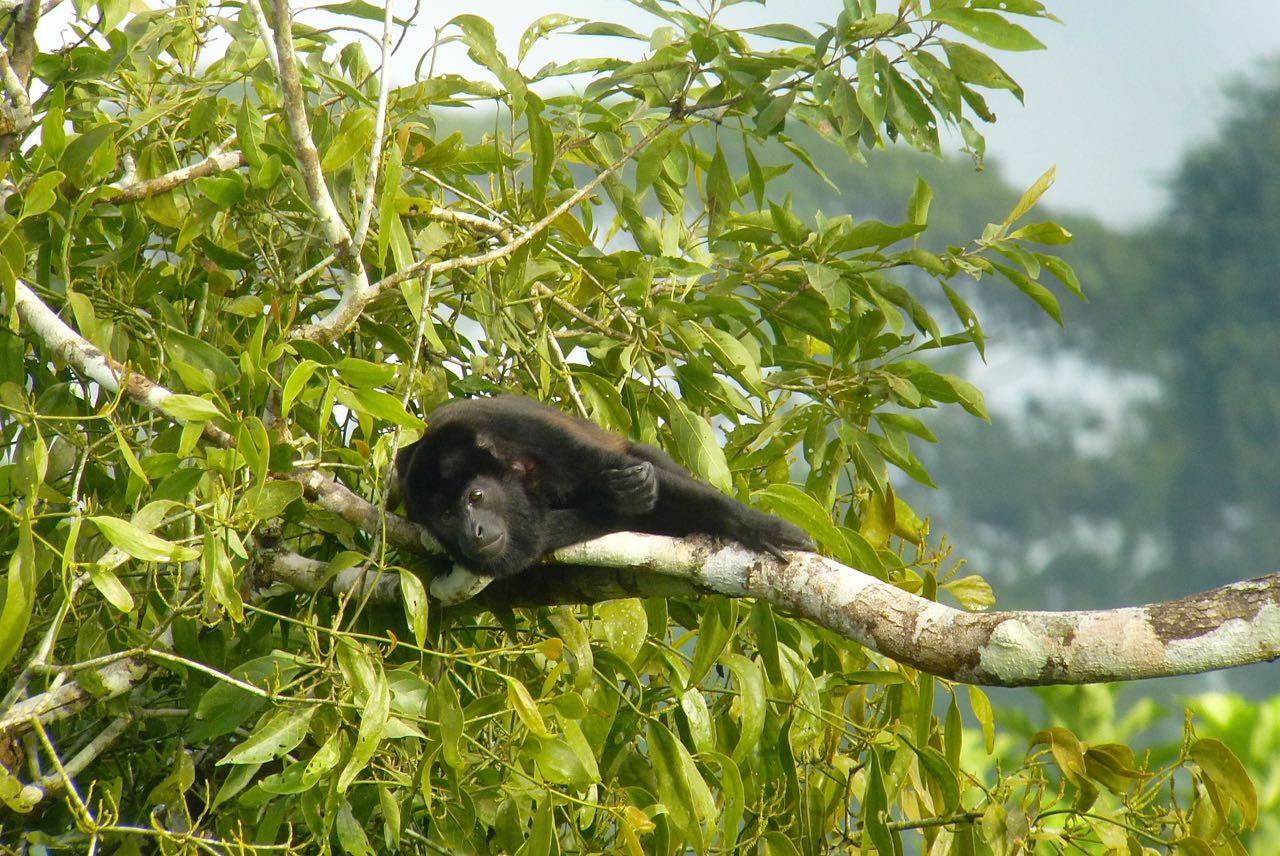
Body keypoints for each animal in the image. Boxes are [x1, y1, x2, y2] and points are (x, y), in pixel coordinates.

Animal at [394, 396, 814, 578]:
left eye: (476, 496)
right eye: (446, 515)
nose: (473, 531)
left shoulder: (530, 433)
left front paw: (759, 528)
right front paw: (615, 504)